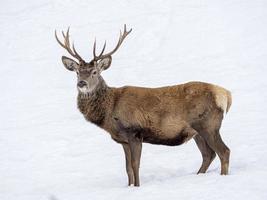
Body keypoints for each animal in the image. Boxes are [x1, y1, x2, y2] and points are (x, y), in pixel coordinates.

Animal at [55, 24, 232, 186]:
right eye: (77, 72)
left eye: (94, 72)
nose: (82, 83)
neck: (109, 113)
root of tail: (225, 94)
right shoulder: (123, 140)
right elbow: (127, 168)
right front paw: (129, 186)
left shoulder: (134, 132)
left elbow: (135, 165)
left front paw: (138, 187)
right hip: (196, 131)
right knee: (208, 155)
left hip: (208, 125)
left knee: (224, 151)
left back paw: (223, 177)